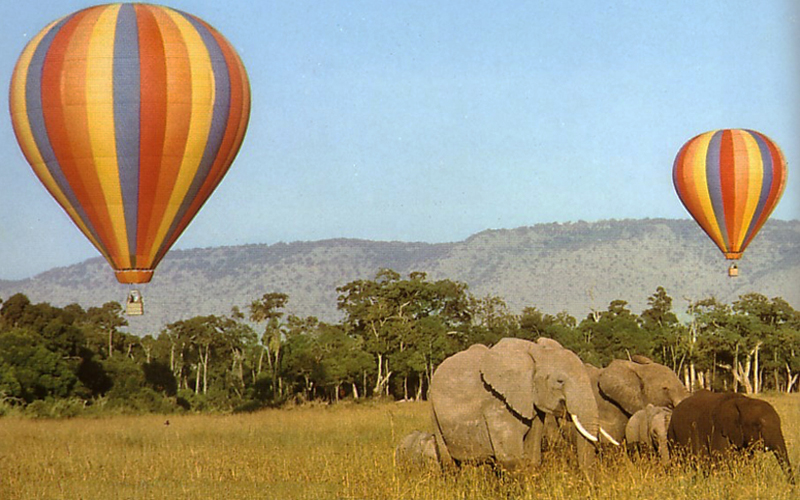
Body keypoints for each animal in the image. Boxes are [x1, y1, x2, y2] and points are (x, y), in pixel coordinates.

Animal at [432, 336, 608, 472]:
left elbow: (532, 457)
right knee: (449, 464)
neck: (535, 353)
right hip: (434, 413)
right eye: (560, 381)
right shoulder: (496, 402)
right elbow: (511, 460)